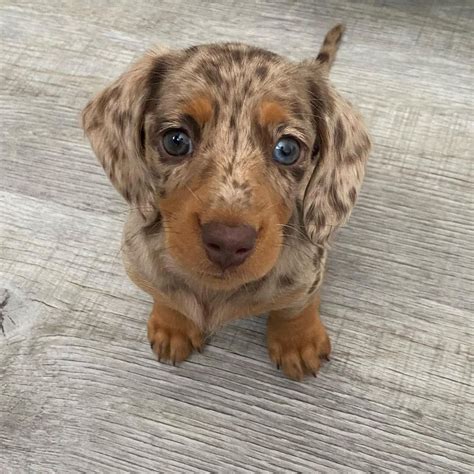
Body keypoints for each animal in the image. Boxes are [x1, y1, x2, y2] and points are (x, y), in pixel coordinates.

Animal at [81, 25, 370, 382]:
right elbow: (166, 294)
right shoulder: (140, 264)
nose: (229, 242)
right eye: (176, 140)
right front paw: (173, 324)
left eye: (287, 149)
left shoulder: (309, 272)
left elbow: (295, 307)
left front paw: (298, 341)